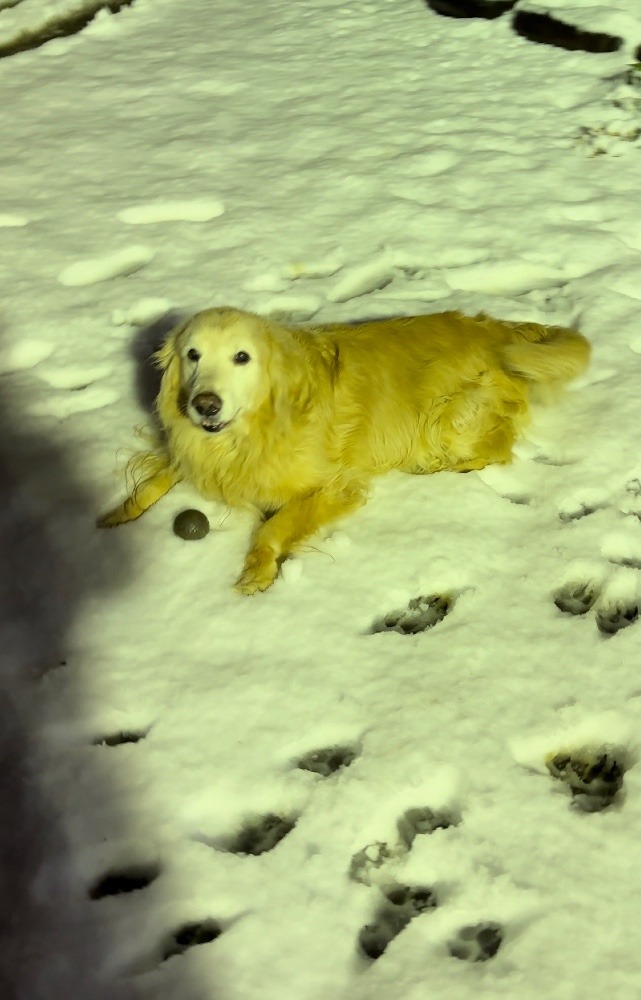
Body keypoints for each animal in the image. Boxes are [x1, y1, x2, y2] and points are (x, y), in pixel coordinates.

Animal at [97, 308, 588, 592]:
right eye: (193, 354)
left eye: (242, 357)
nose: (205, 405)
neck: (254, 431)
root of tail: (496, 327)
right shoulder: (195, 451)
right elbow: (154, 480)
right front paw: (117, 514)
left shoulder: (336, 485)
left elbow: (273, 528)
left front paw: (257, 572)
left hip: (449, 420)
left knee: (499, 448)